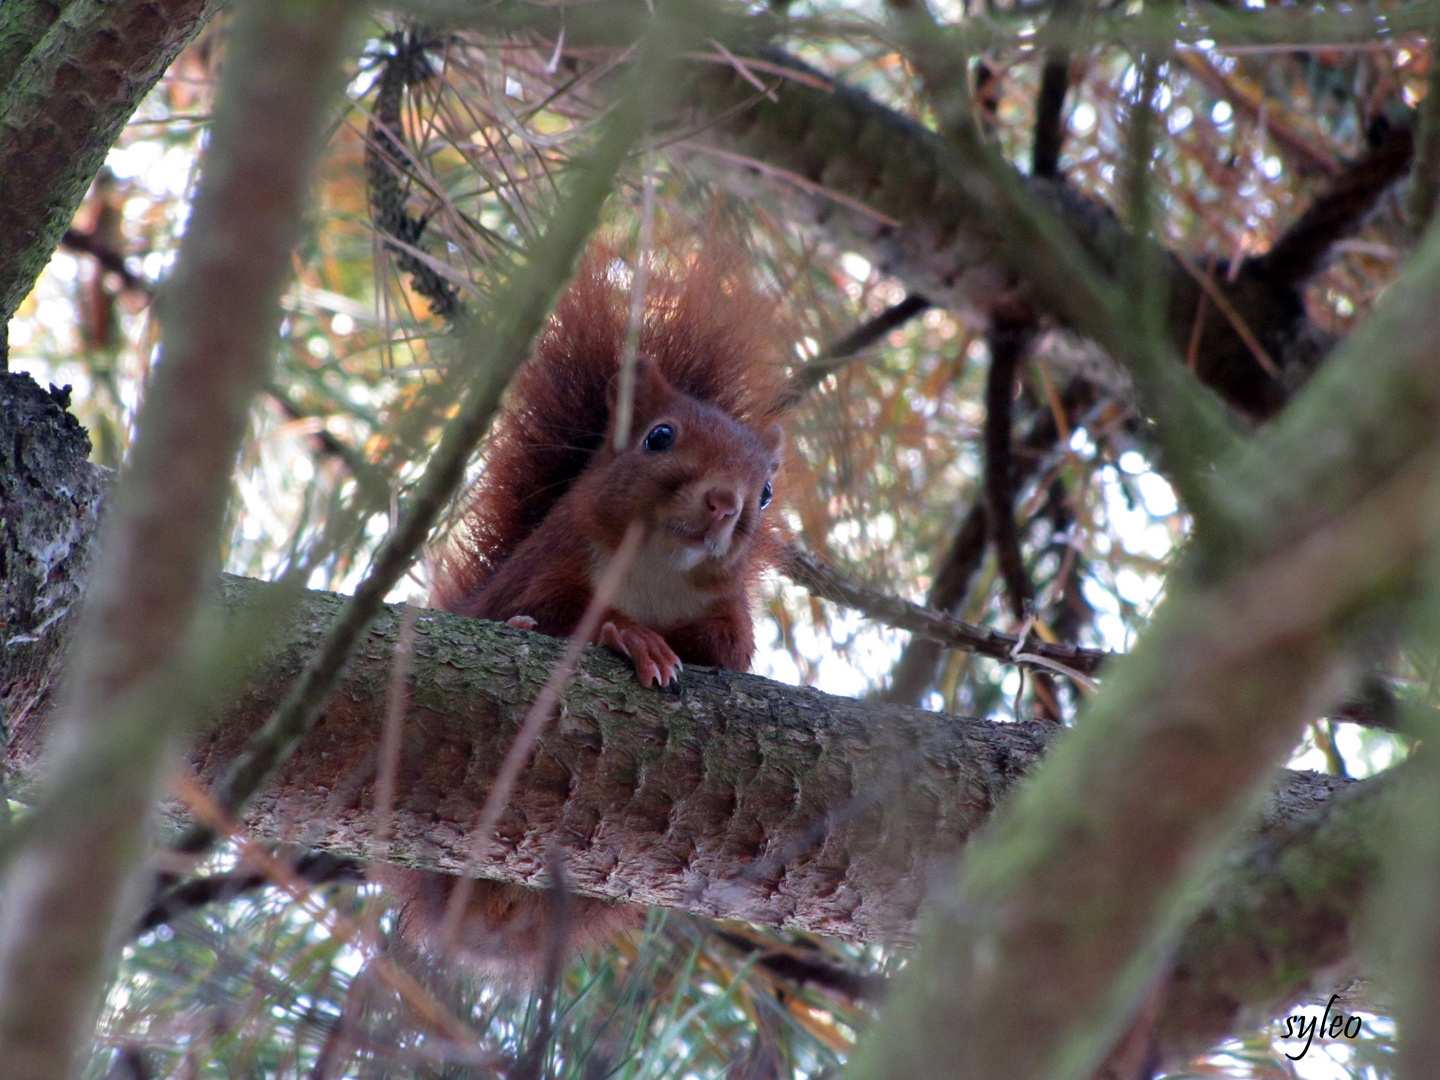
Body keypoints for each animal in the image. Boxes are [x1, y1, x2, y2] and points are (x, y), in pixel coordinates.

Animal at [388, 240, 794, 979]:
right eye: (659, 436)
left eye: (768, 492)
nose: (724, 502)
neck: (656, 569)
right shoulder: (550, 569)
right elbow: (557, 614)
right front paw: (633, 637)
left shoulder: (727, 611)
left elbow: (731, 652)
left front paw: (677, 643)